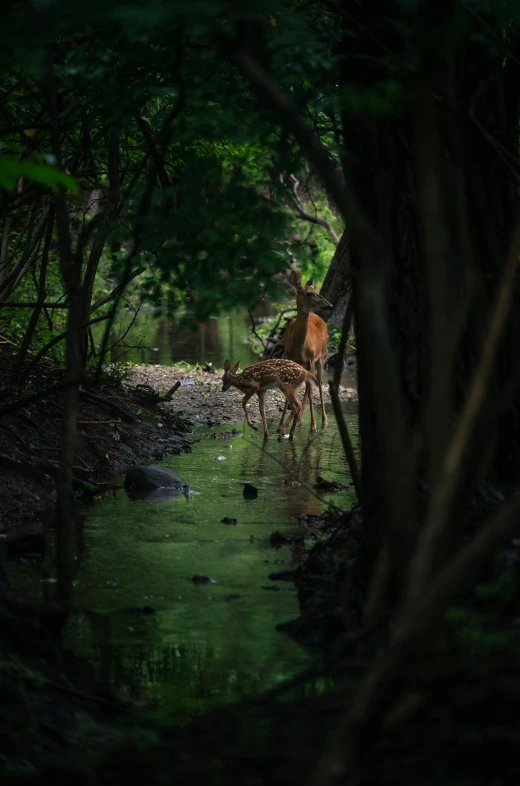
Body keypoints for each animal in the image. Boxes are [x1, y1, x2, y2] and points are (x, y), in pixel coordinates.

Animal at [280, 272, 334, 434]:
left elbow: (310, 391)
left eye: (318, 291)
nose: (329, 305)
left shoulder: (310, 358)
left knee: (319, 383)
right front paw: (282, 425)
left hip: (321, 355)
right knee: (308, 385)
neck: (299, 346)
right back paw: (299, 420)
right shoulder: (291, 358)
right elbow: (292, 390)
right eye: (309, 293)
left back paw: (323, 421)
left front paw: (313, 426)